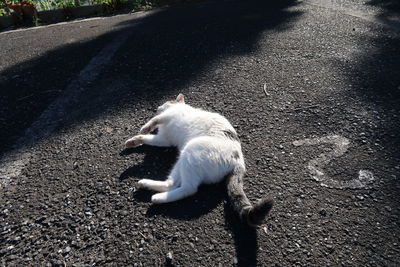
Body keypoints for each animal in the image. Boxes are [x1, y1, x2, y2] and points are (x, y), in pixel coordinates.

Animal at [126, 93, 272, 226]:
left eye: (167, 101)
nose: (157, 107)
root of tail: (238, 161)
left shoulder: (169, 115)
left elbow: (155, 119)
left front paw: (145, 128)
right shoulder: (163, 139)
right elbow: (147, 139)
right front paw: (133, 141)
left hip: (191, 151)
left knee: (189, 189)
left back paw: (157, 198)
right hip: (182, 161)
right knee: (172, 184)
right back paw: (147, 185)